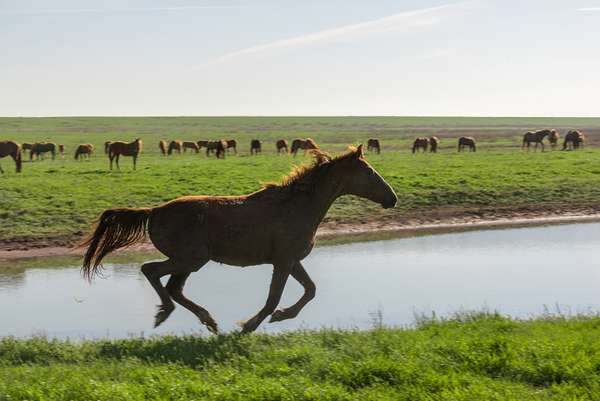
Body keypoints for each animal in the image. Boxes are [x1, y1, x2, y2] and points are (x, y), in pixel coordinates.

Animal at [81, 145, 398, 332]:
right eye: (370, 172)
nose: (392, 198)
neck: (297, 205)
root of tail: (154, 211)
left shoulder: (291, 260)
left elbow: (310, 290)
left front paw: (282, 315)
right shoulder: (283, 262)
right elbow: (274, 298)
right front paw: (251, 325)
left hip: (189, 262)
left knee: (174, 288)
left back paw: (208, 320)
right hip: (190, 259)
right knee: (152, 272)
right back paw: (168, 314)